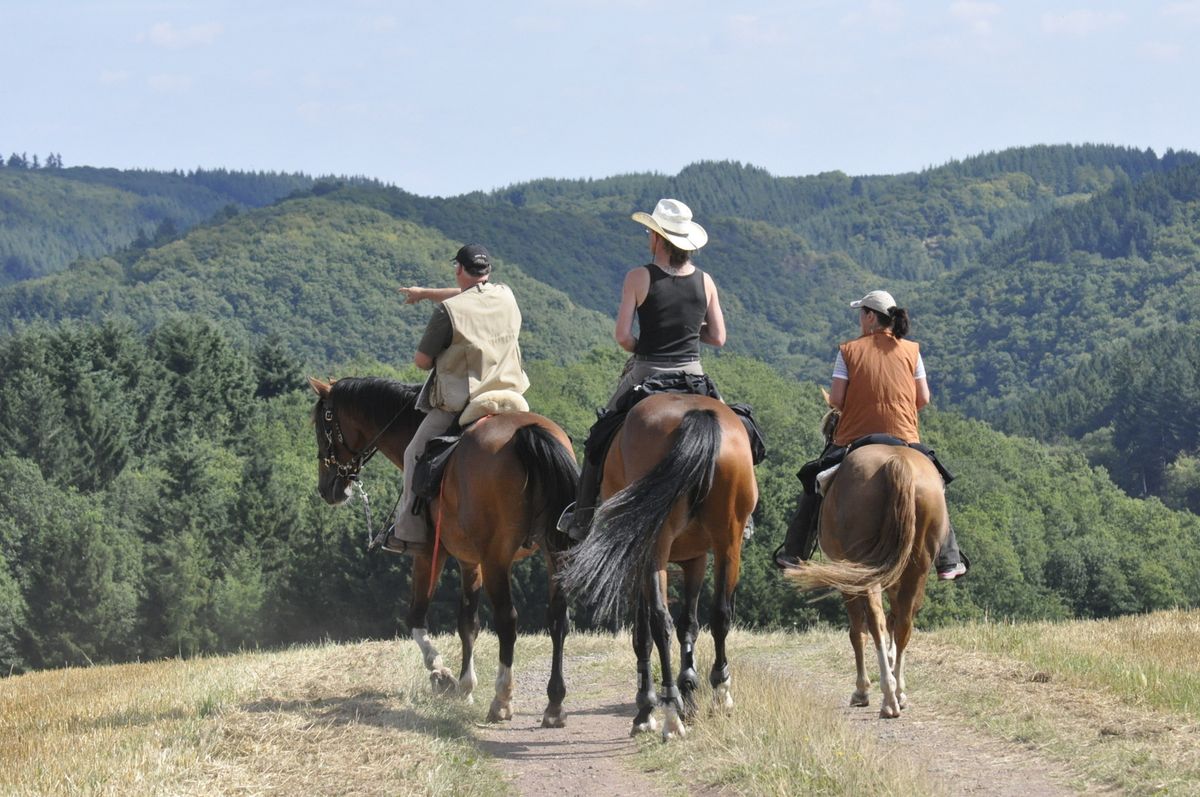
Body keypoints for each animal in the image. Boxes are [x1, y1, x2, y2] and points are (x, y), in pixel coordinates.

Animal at [304, 376, 576, 724]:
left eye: (322, 426)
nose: (328, 489)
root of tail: (525, 433)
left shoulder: (427, 555)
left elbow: (416, 616)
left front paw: (441, 673)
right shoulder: (470, 562)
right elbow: (468, 623)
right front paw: (465, 686)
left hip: (497, 559)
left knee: (507, 620)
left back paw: (502, 699)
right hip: (554, 553)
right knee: (557, 619)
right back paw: (554, 703)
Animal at [561, 391, 758, 739]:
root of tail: (696, 415)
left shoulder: (641, 558)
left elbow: (642, 632)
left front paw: (646, 707)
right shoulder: (696, 557)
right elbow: (689, 625)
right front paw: (689, 694)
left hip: (655, 545)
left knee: (659, 620)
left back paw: (668, 712)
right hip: (729, 540)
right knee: (720, 614)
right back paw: (720, 696)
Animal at [787, 400, 945, 720]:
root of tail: (897, 463)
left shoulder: (847, 577)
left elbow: (856, 630)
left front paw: (861, 690)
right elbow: (895, 619)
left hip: (861, 567)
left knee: (874, 621)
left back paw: (887, 696)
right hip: (916, 566)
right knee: (903, 622)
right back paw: (898, 692)